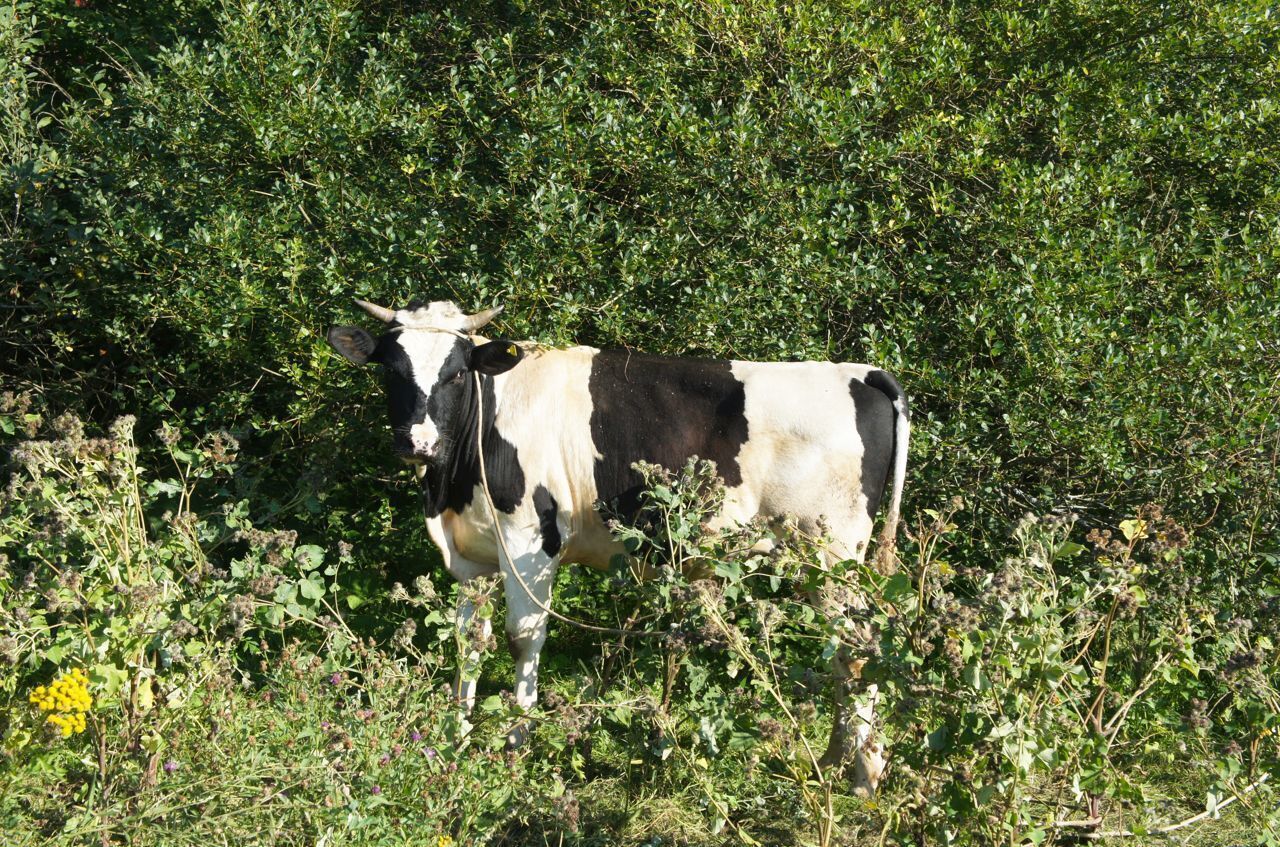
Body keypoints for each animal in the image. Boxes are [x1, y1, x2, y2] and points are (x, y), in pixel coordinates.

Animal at [330, 300, 911, 798]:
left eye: (454, 373)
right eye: (391, 371)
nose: (417, 442)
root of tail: (860, 372)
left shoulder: (530, 543)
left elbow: (523, 639)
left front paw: (516, 745)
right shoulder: (472, 556)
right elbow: (469, 642)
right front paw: (456, 738)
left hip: (831, 552)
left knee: (861, 646)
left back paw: (864, 774)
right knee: (843, 652)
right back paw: (836, 759)